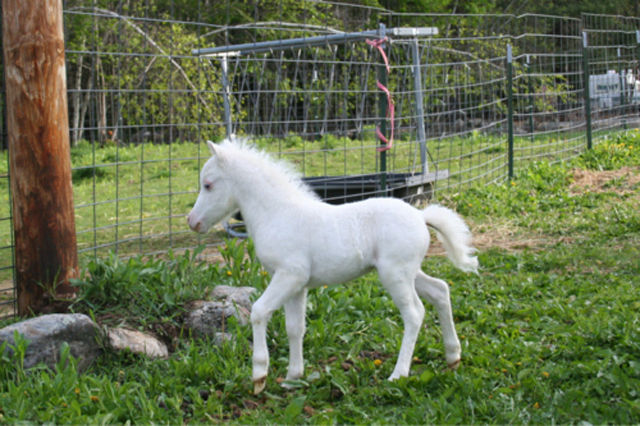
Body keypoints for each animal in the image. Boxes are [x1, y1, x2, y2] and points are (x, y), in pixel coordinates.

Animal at [188, 138, 478, 394]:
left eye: (208, 185)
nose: (192, 222)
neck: (278, 213)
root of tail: (420, 215)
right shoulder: (297, 285)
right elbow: (295, 328)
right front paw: (293, 378)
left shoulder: (289, 275)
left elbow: (259, 312)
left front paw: (259, 376)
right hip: (409, 272)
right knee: (440, 291)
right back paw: (453, 357)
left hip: (395, 274)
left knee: (415, 314)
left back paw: (398, 374)